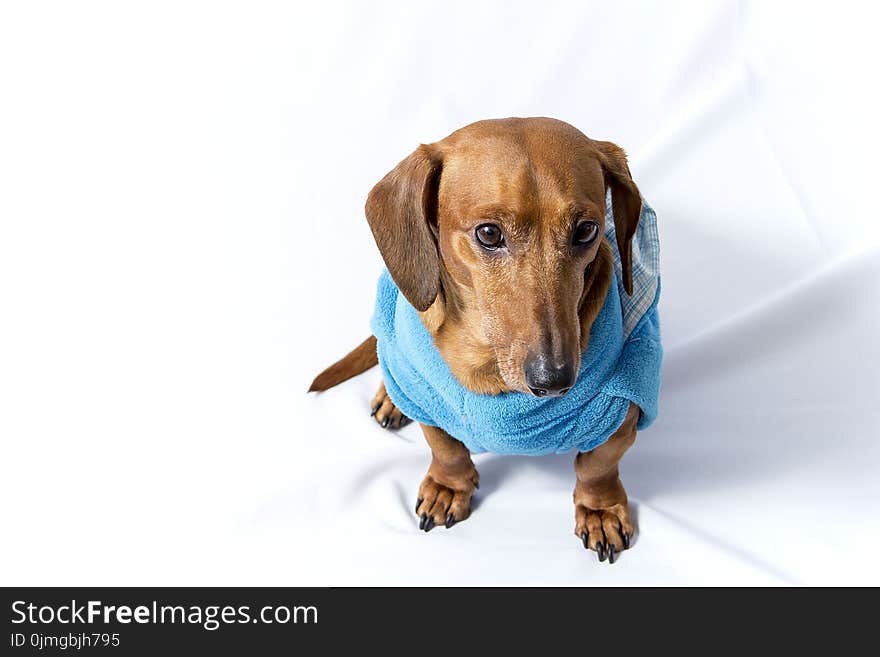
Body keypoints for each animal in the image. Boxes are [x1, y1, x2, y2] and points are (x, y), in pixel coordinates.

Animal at [312, 115, 644, 560]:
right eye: (488, 233)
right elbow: (445, 447)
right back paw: (390, 398)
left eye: (587, 230)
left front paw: (600, 510)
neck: (490, 367)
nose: (554, 380)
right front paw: (448, 487)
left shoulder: (623, 406)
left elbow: (598, 465)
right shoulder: (428, 398)